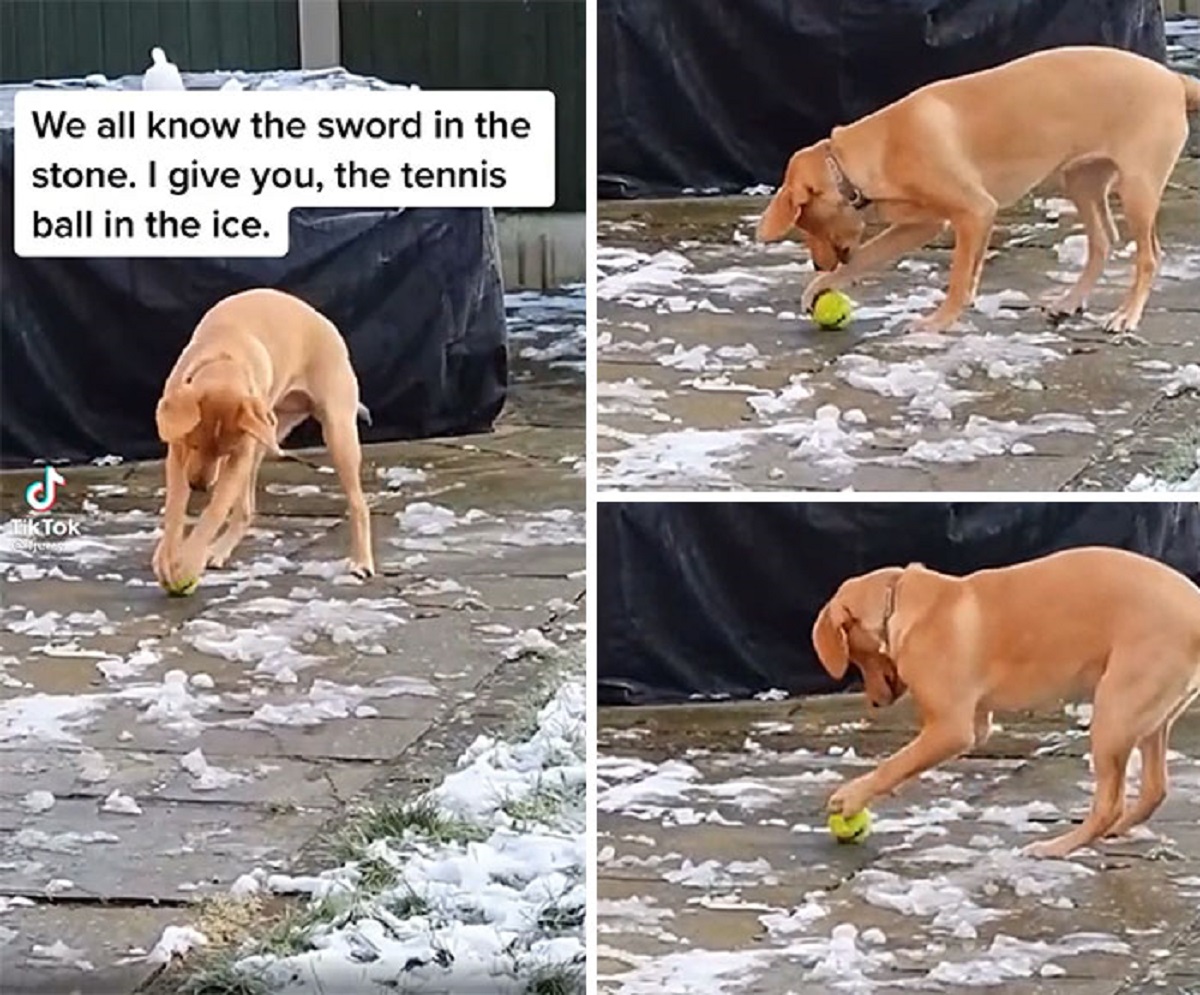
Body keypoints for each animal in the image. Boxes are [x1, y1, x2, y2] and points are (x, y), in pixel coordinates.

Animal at [153, 286, 374, 585]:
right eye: (193, 444)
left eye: (224, 451)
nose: (198, 485)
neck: (225, 358)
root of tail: (322, 319)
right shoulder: (179, 452)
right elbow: (175, 508)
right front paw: (167, 558)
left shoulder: (238, 455)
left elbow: (215, 509)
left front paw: (188, 561)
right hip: (268, 430)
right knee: (245, 508)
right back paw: (219, 551)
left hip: (337, 432)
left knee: (358, 502)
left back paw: (362, 562)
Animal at [758, 47, 1200, 333]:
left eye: (808, 225)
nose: (817, 266)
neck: (866, 157)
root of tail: (1174, 79)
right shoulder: (921, 225)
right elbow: (867, 256)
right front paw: (819, 287)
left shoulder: (974, 211)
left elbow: (957, 277)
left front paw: (939, 321)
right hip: (1082, 180)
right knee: (1103, 241)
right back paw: (1069, 302)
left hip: (1138, 187)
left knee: (1149, 256)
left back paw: (1126, 315)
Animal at [811, 542, 1200, 854]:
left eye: (855, 656)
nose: (875, 703)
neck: (900, 600)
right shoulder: (974, 724)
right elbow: (906, 763)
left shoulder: (950, 730)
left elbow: (894, 763)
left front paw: (850, 797)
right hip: (1150, 717)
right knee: (1154, 789)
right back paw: (1114, 832)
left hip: (1115, 712)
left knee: (1111, 804)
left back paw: (1055, 848)